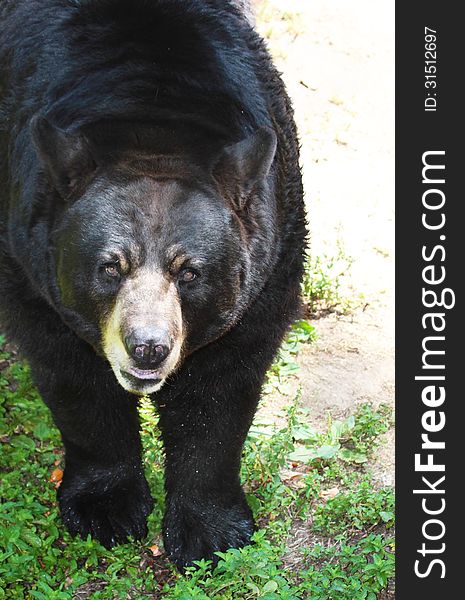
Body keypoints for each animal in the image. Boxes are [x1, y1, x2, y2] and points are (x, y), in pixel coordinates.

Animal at [0, 0, 306, 568]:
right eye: (109, 267)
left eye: (189, 272)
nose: (147, 348)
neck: (152, 111)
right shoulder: (27, 262)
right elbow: (75, 377)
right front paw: (105, 507)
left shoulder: (271, 259)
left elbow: (219, 390)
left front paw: (210, 531)